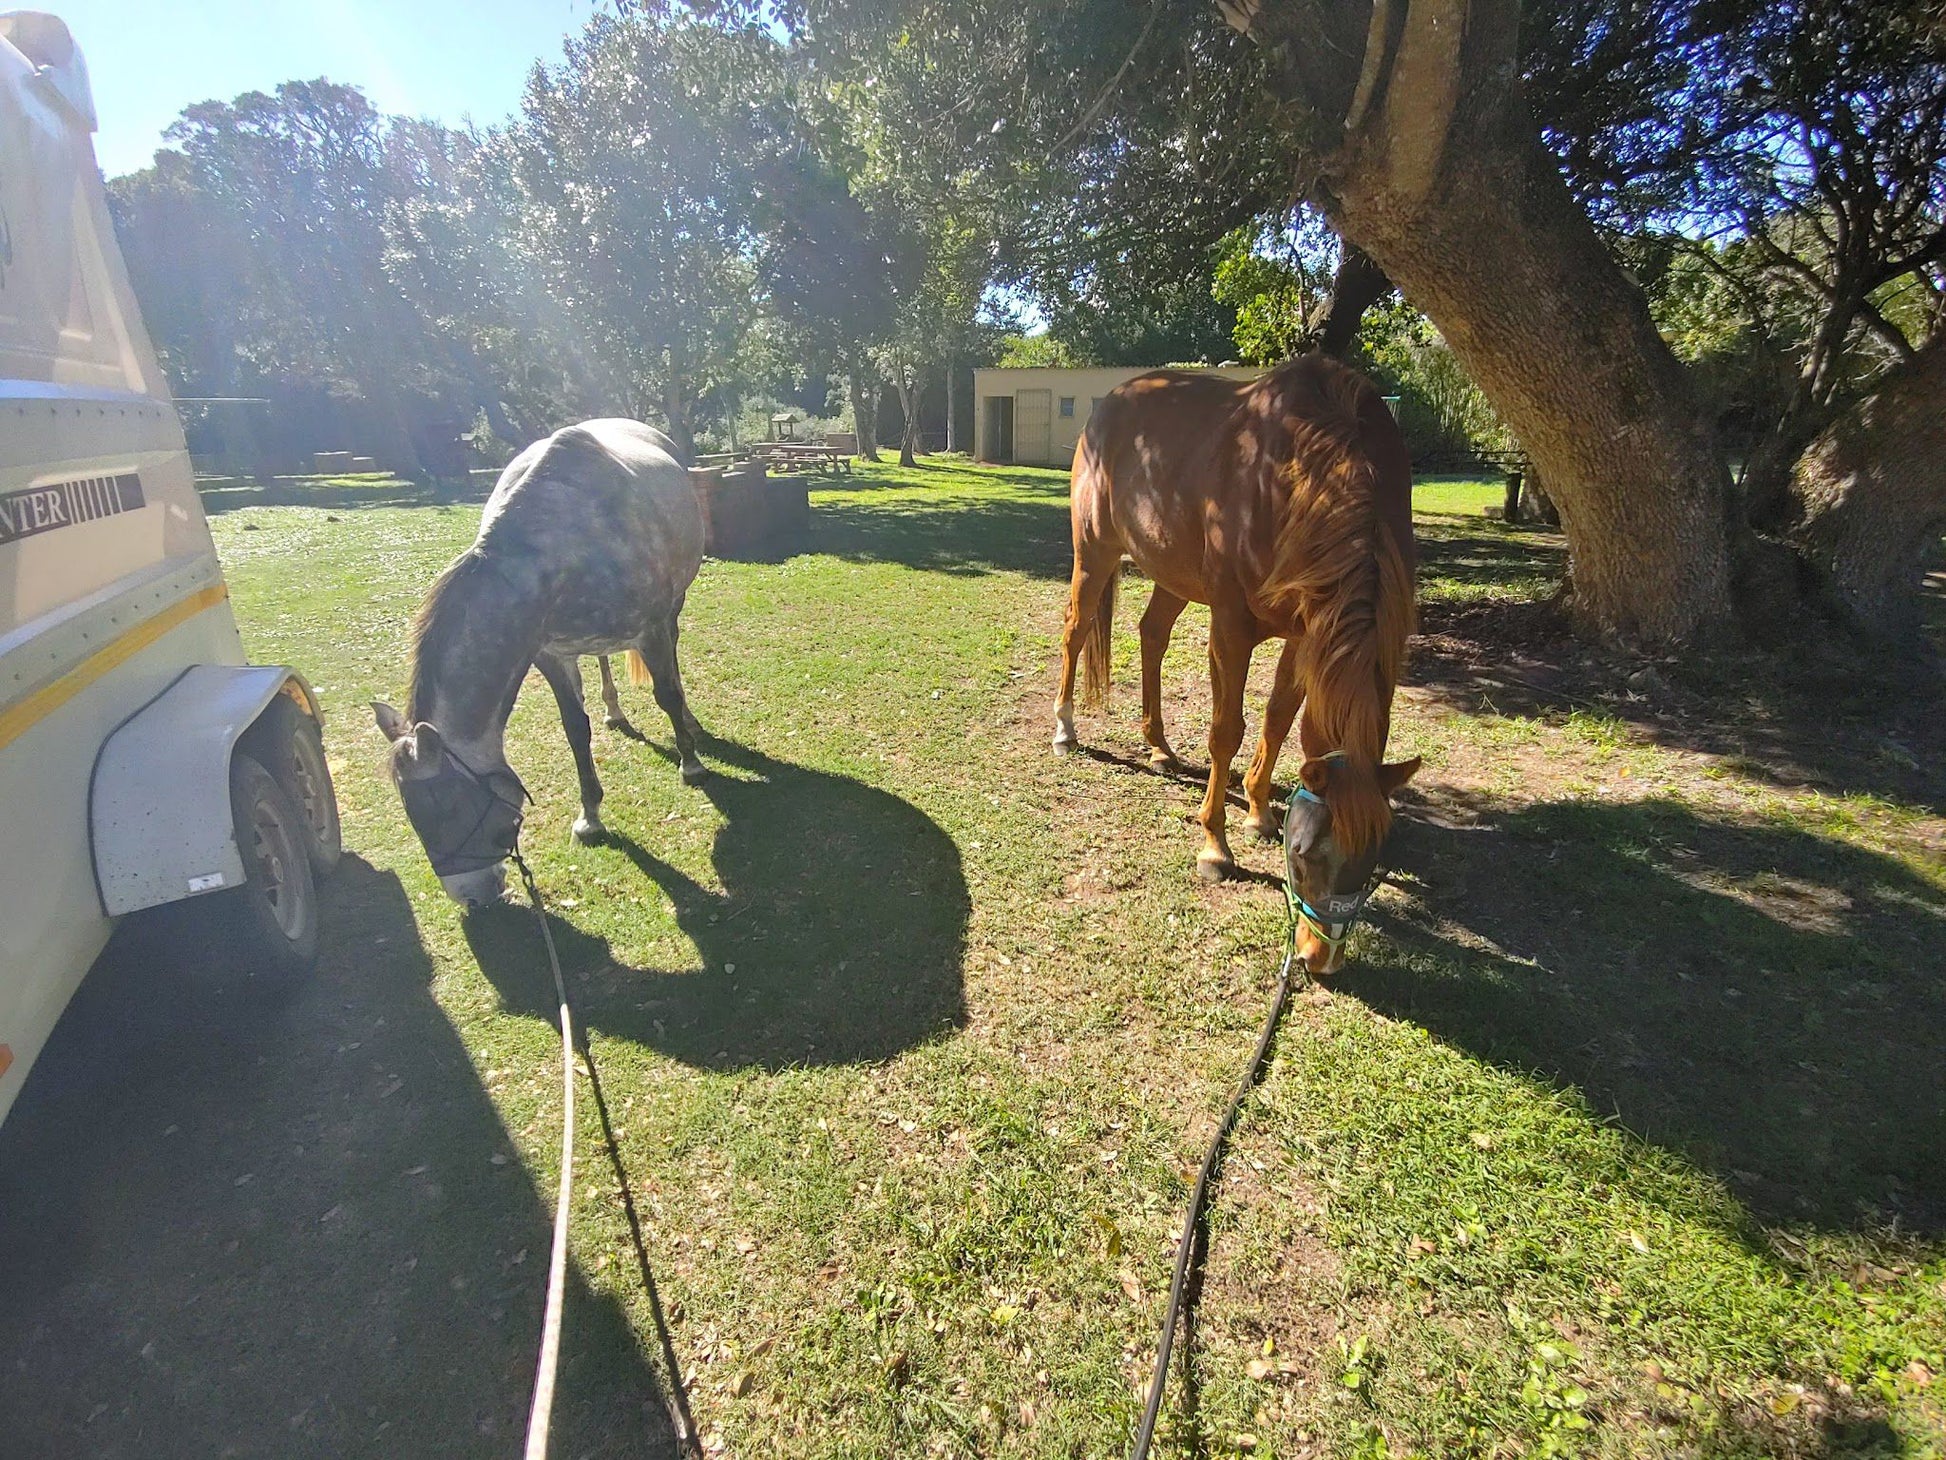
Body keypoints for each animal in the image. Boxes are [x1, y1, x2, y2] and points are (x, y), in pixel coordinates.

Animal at [373, 416, 708, 911]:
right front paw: (590, 817)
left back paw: (688, 721)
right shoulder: (551, 655)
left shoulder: (651, 631)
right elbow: (575, 731)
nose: (470, 897)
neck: (551, 553)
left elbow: (665, 693)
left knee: (673, 668)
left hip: (673, 609)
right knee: (603, 661)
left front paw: (691, 764)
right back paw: (613, 710)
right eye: (411, 811)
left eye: (449, 806)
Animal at [1058, 354, 1424, 973]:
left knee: (1152, 635)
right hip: (1095, 554)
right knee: (1076, 631)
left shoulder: (1307, 629)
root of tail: (1109, 405)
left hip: (1172, 574)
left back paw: (1159, 746)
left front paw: (1257, 808)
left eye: (1372, 858)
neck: (1299, 471)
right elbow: (1227, 730)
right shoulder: (1230, 625)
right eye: (1302, 854)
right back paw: (1064, 729)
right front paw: (1215, 846)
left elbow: (1279, 719)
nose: (1319, 959)